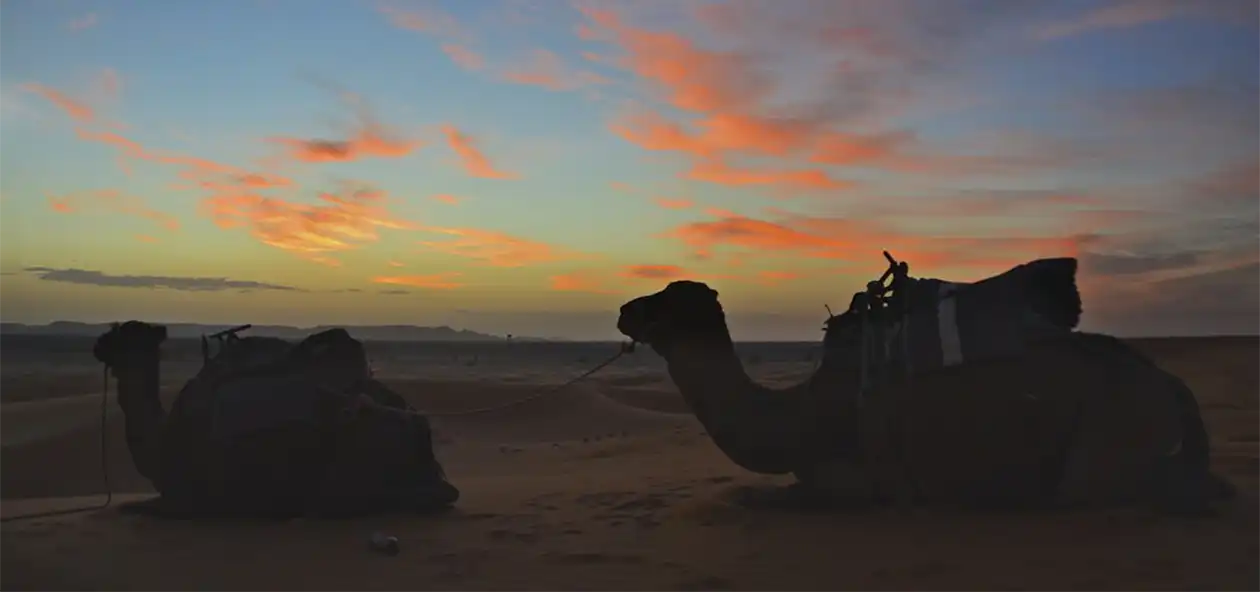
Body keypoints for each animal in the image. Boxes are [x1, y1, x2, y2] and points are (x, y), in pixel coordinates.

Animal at [615, 257, 1236, 514]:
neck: (798, 415)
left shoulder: (853, 480)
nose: (624, 309)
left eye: (666, 301)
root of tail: (1173, 387)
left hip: (1108, 435)